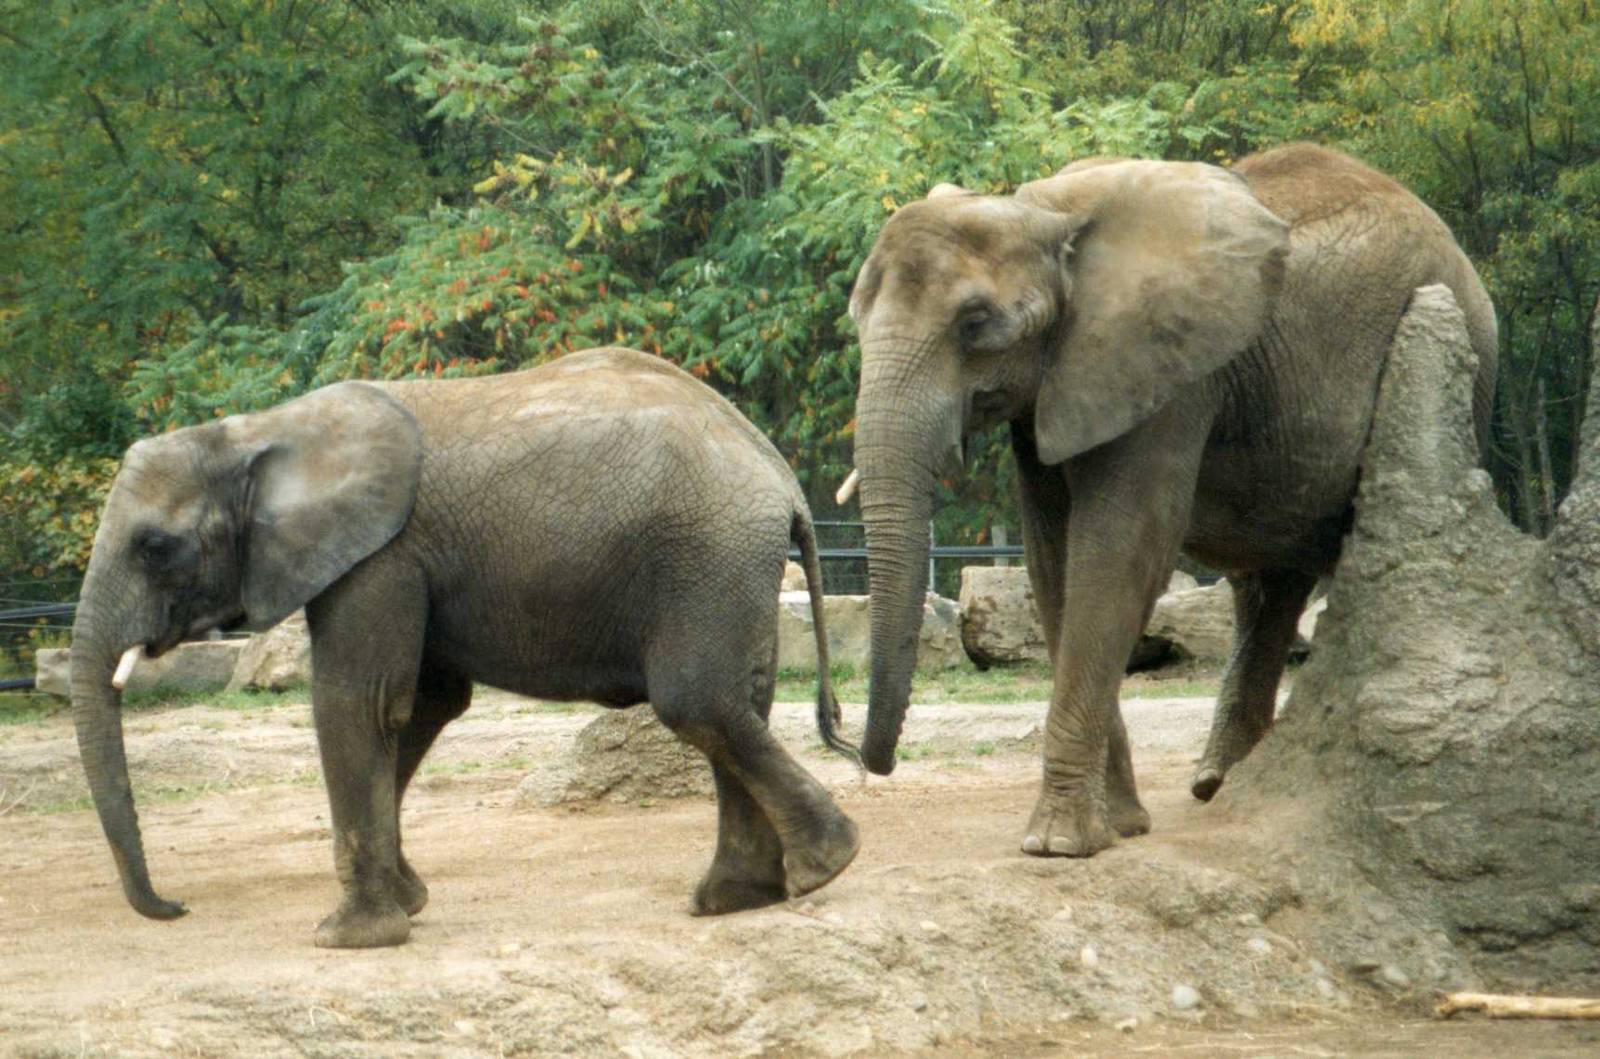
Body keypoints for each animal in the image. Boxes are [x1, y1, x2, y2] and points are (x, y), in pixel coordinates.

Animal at [68, 346, 862, 947]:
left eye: (154, 546)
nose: (177, 908)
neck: (256, 435)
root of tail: (782, 477)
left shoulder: (378, 556)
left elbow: (359, 703)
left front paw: (349, 937)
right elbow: (423, 705)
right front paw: (409, 900)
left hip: (706, 553)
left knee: (697, 700)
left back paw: (823, 867)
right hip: (727, 563)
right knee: (739, 699)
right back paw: (739, 898)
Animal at [844, 143, 1497, 857]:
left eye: (975, 323)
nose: (866, 762)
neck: (1043, 213)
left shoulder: (1170, 367)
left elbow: (1118, 551)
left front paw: (1060, 845)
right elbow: (1054, 564)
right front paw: (1120, 826)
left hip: (1451, 361)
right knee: (1268, 586)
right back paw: (1219, 784)